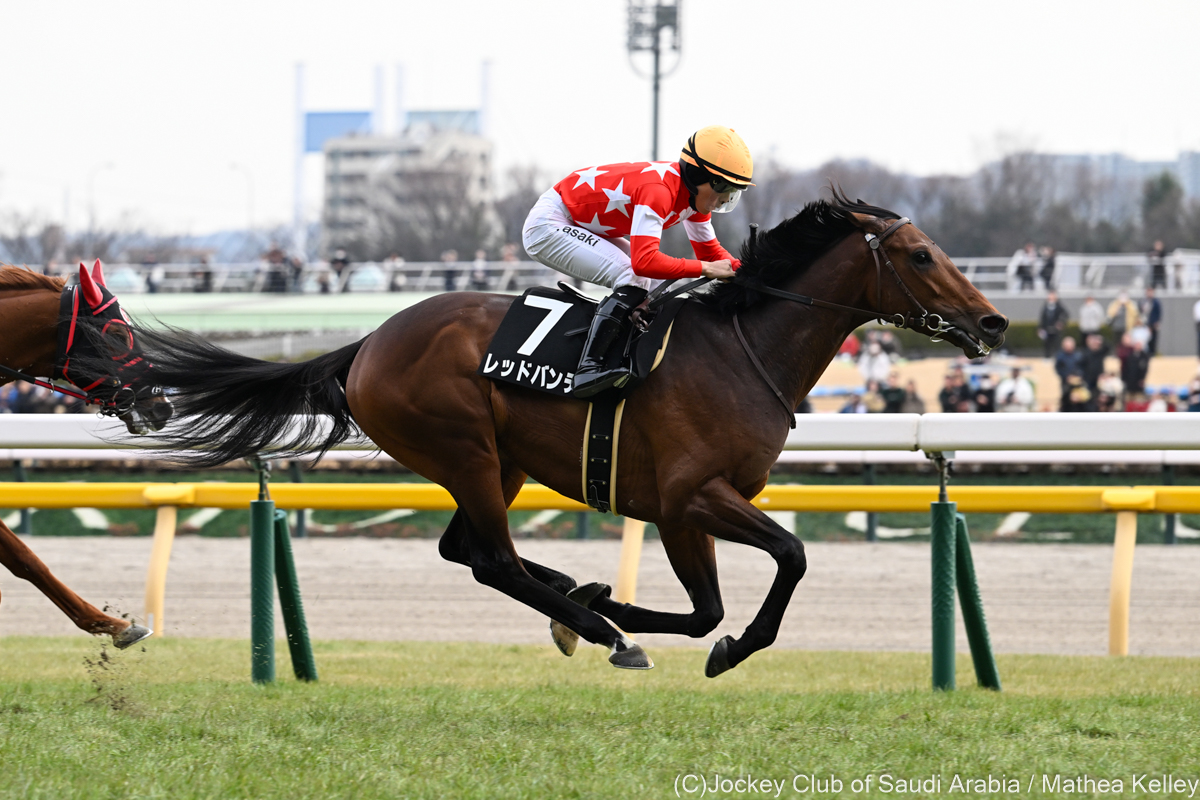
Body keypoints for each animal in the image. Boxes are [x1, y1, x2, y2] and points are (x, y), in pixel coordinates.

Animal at [135, 192, 1008, 676]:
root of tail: (367, 343)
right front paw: (693, 639)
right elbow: (778, 565)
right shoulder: (691, 497)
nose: (994, 322)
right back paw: (596, 627)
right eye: (921, 255)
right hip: (465, 449)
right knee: (492, 558)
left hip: (500, 462)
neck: (743, 350)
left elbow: (706, 610)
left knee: (471, 551)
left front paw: (606, 597)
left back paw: (579, 603)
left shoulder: (693, 506)